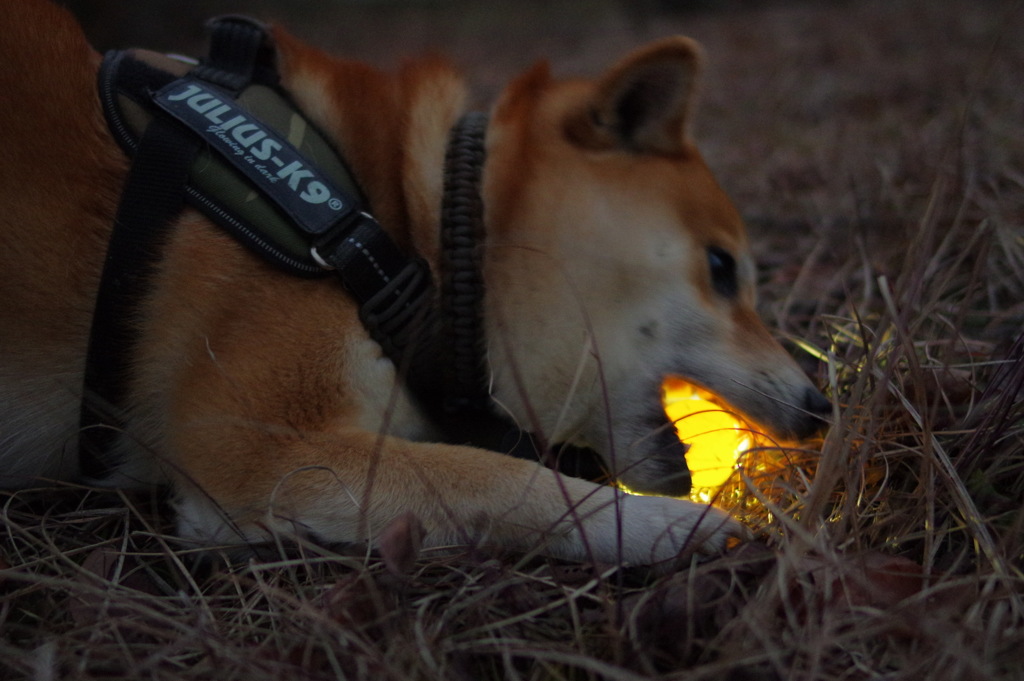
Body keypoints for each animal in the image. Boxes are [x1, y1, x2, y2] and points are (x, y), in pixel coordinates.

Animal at [0, 0, 827, 561]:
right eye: (722, 270)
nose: (821, 407)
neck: (398, 227)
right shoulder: (259, 446)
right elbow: (502, 478)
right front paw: (667, 526)